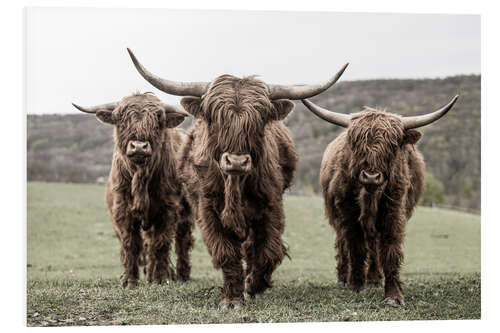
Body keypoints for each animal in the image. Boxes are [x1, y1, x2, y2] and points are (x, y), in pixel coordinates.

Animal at [71, 92, 194, 286]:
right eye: (121, 118)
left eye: (158, 118)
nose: (139, 146)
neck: (140, 179)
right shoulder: (122, 209)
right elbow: (130, 243)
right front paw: (129, 280)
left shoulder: (168, 209)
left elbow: (161, 243)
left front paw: (161, 278)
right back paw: (151, 275)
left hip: (186, 212)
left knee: (183, 240)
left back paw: (181, 275)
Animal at [127, 48, 350, 308]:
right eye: (215, 117)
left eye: (259, 119)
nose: (235, 161)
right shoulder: (208, 210)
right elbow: (226, 253)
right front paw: (232, 298)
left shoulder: (271, 208)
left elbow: (268, 251)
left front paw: (255, 286)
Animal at [302, 94, 458, 306]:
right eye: (357, 144)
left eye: (392, 146)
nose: (371, 176)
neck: (370, 196)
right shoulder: (348, 214)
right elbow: (355, 247)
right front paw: (356, 285)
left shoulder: (394, 211)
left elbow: (390, 248)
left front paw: (393, 296)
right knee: (343, 243)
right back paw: (344, 278)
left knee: (374, 245)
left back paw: (374, 279)